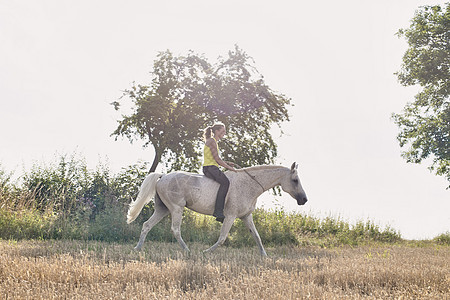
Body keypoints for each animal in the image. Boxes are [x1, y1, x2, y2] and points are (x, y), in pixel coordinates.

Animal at [128, 162, 308, 255]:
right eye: (295, 180)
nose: (304, 200)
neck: (249, 185)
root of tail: (163, 176)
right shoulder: (230, 216)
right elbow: (222, 238)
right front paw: (206, 252)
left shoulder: (246, 216)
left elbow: (257, 236)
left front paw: (264, 256)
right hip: (176, 208)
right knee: (175, 230)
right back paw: (188, 250)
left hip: (162, 209)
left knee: (146, 225)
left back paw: (138, 248)